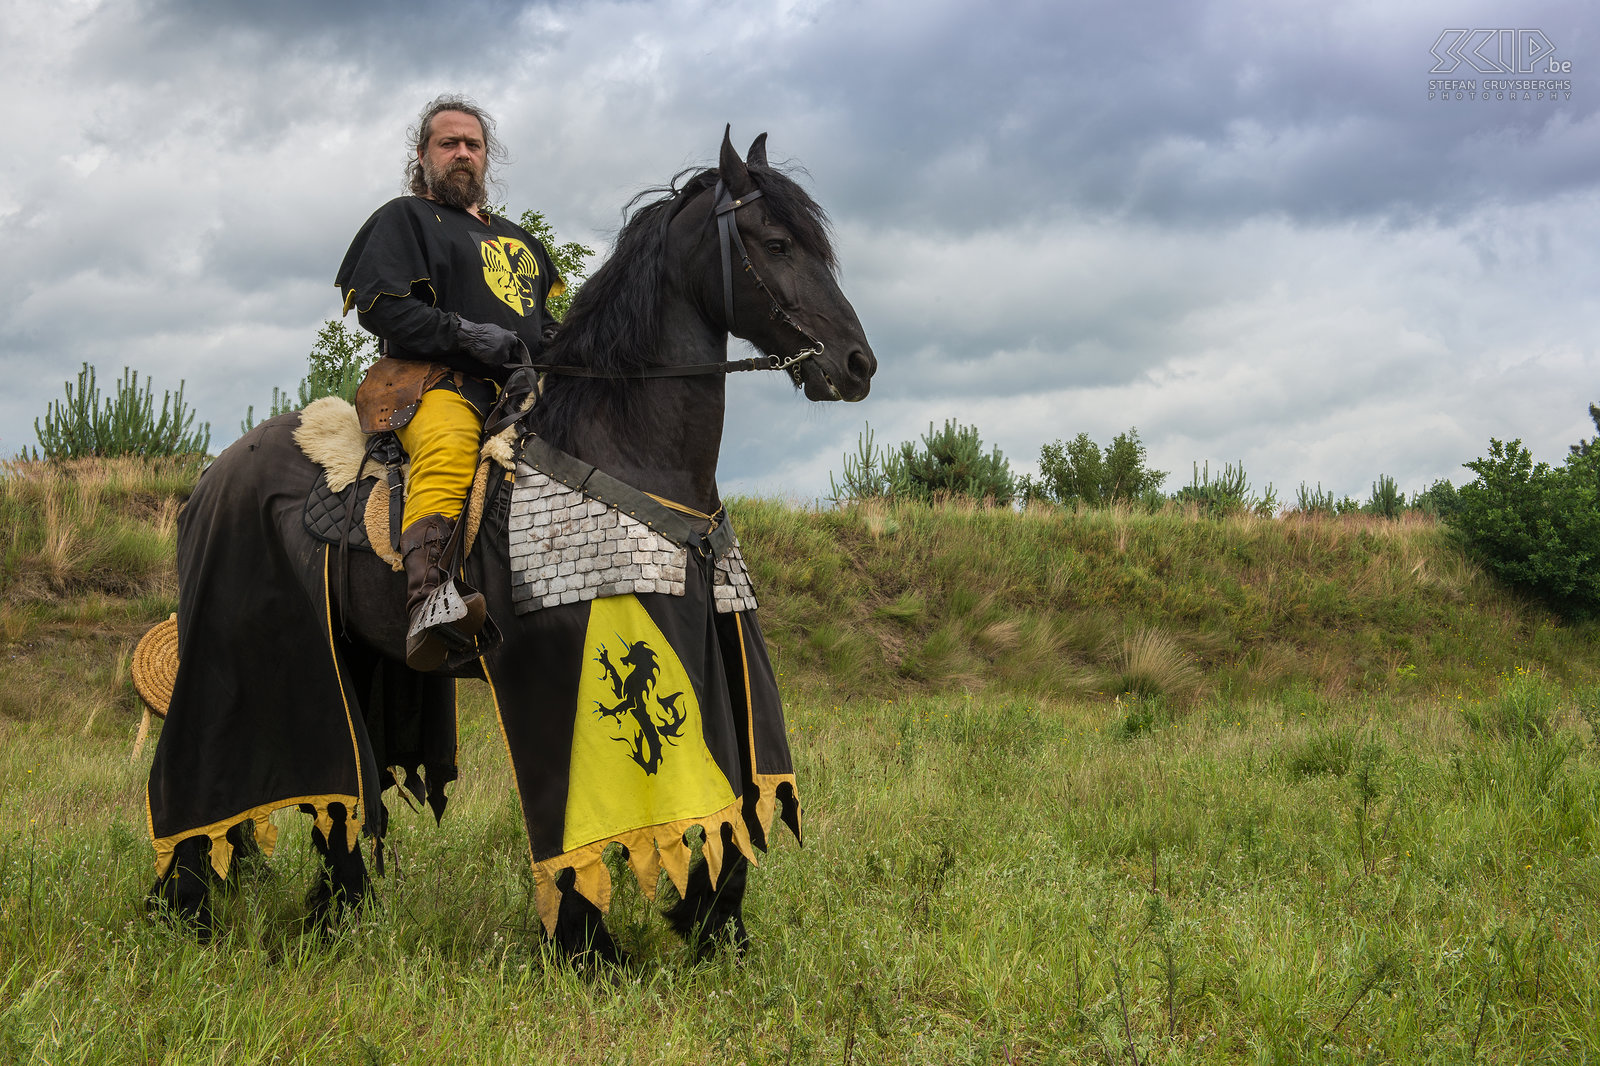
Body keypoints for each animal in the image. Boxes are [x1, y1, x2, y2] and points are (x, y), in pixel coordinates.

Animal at [148, 126, 876, 953]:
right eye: (777, 243)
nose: (856, 365)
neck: (622, 442)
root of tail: (209, 479)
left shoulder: (707, 634)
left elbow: (725, 792)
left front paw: (716, 923)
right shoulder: (566, 656)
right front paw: (588, 943)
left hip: (349, 655)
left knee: (343, 798)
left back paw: (336, 912)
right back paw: (189, 906)